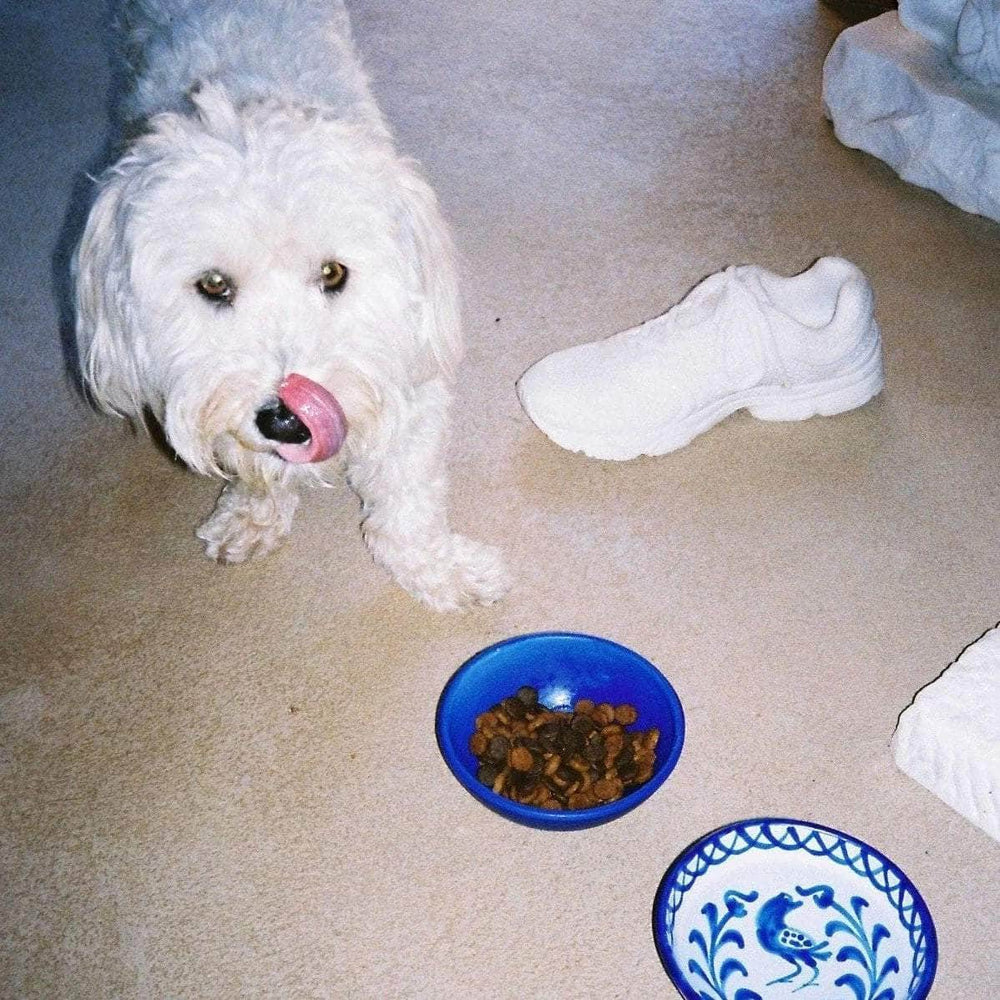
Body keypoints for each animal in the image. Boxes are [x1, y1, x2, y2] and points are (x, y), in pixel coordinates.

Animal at [75, 0, 512, 608]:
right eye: (214, 284)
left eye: (333, 272)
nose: (286, 420)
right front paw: (252, 518)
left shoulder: (404, 369)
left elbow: (408, 497)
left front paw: (444, 572)